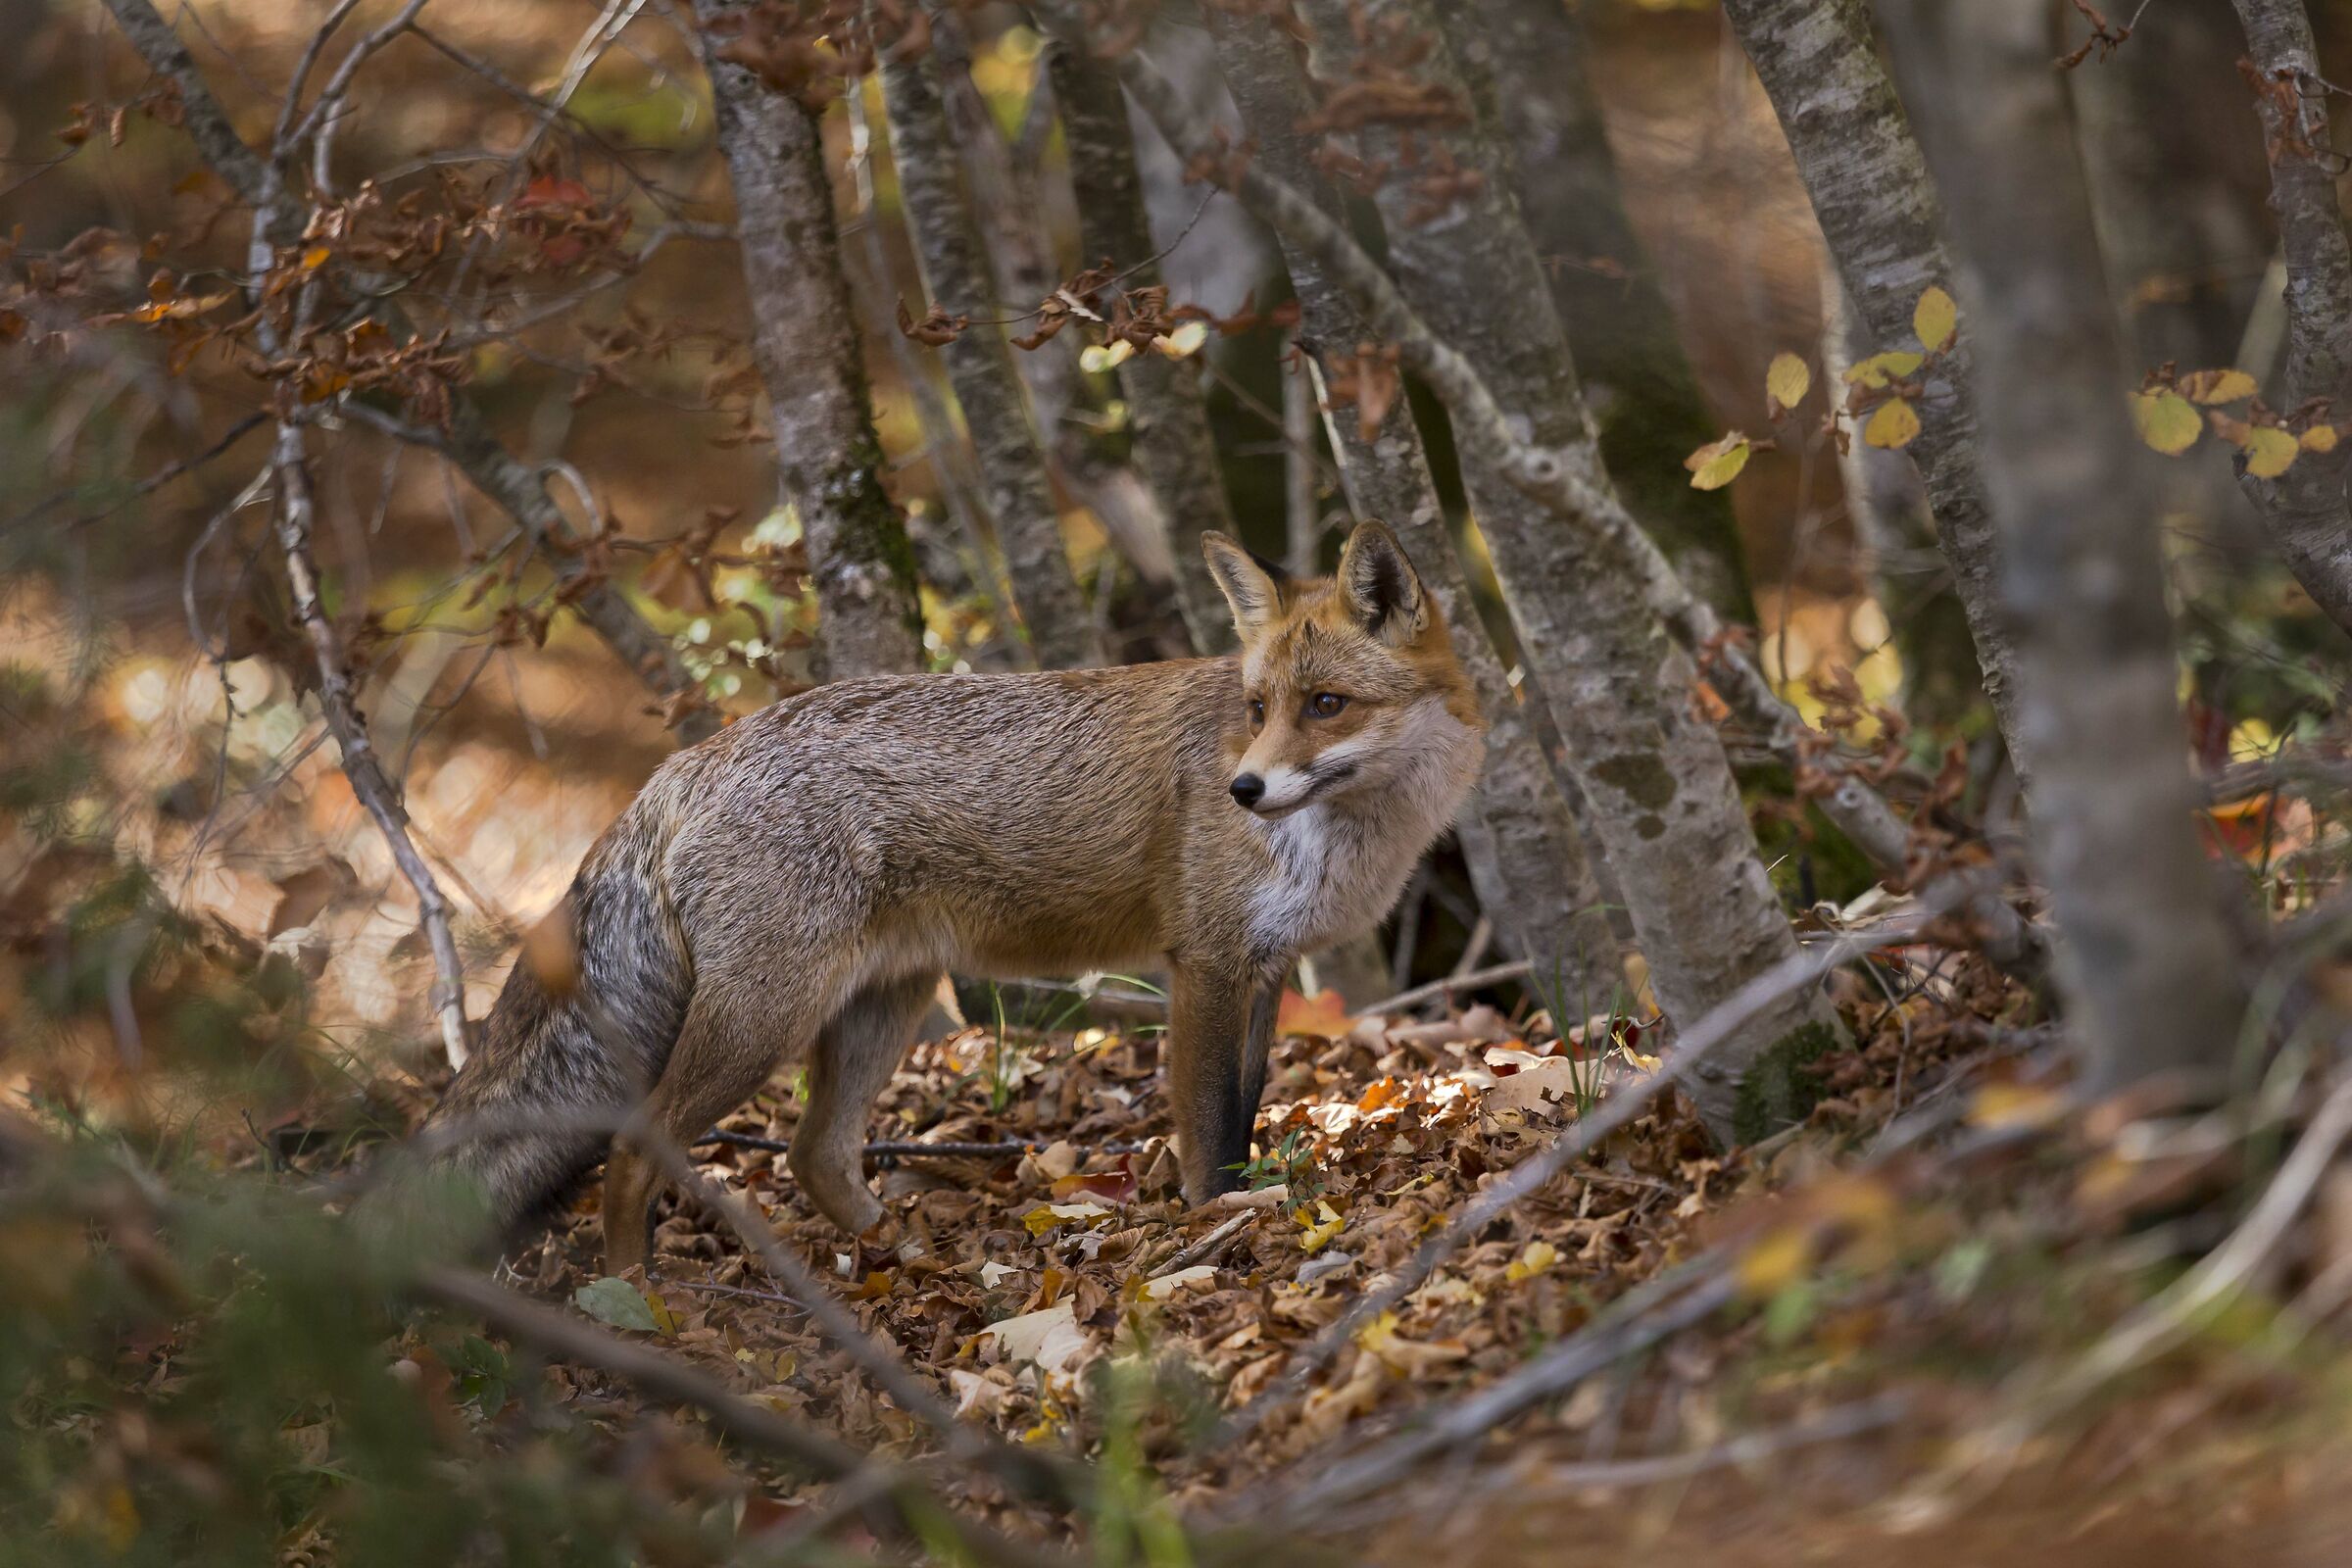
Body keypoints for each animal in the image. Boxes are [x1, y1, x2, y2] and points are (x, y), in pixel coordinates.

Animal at [407, 519, 1484, 1274]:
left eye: (1327, 705)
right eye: (1259, 710)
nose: (1244, 789)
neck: (1349, 840)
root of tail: (685, 762)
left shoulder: (1263, 969)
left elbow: (1250, 1112)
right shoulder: (1207, 966)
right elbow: (1211, 1135)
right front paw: (1218, 1224)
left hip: (882, 1003)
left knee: (813, 1152)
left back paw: (903, 1258)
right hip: (765, 1018)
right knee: (636, 1153)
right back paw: (640, 1302)